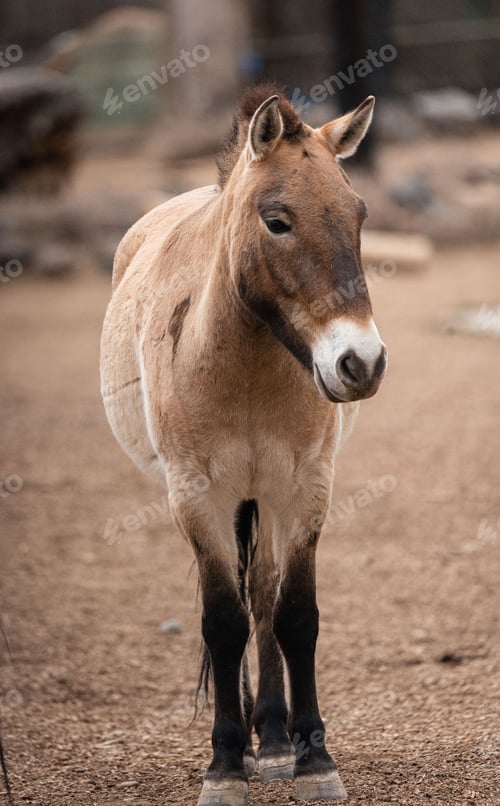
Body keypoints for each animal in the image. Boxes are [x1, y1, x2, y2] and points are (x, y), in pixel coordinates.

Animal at [100, 83, 387, 805]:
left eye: (359, 213)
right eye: (277, 221)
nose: (361, 363)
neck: (246, 366)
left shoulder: (305, 490)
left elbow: (294, 616)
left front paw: (314, 759)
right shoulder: (197, 497)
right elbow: (222, 622)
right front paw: (226, 766)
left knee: (262, 593)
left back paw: (277, 739)